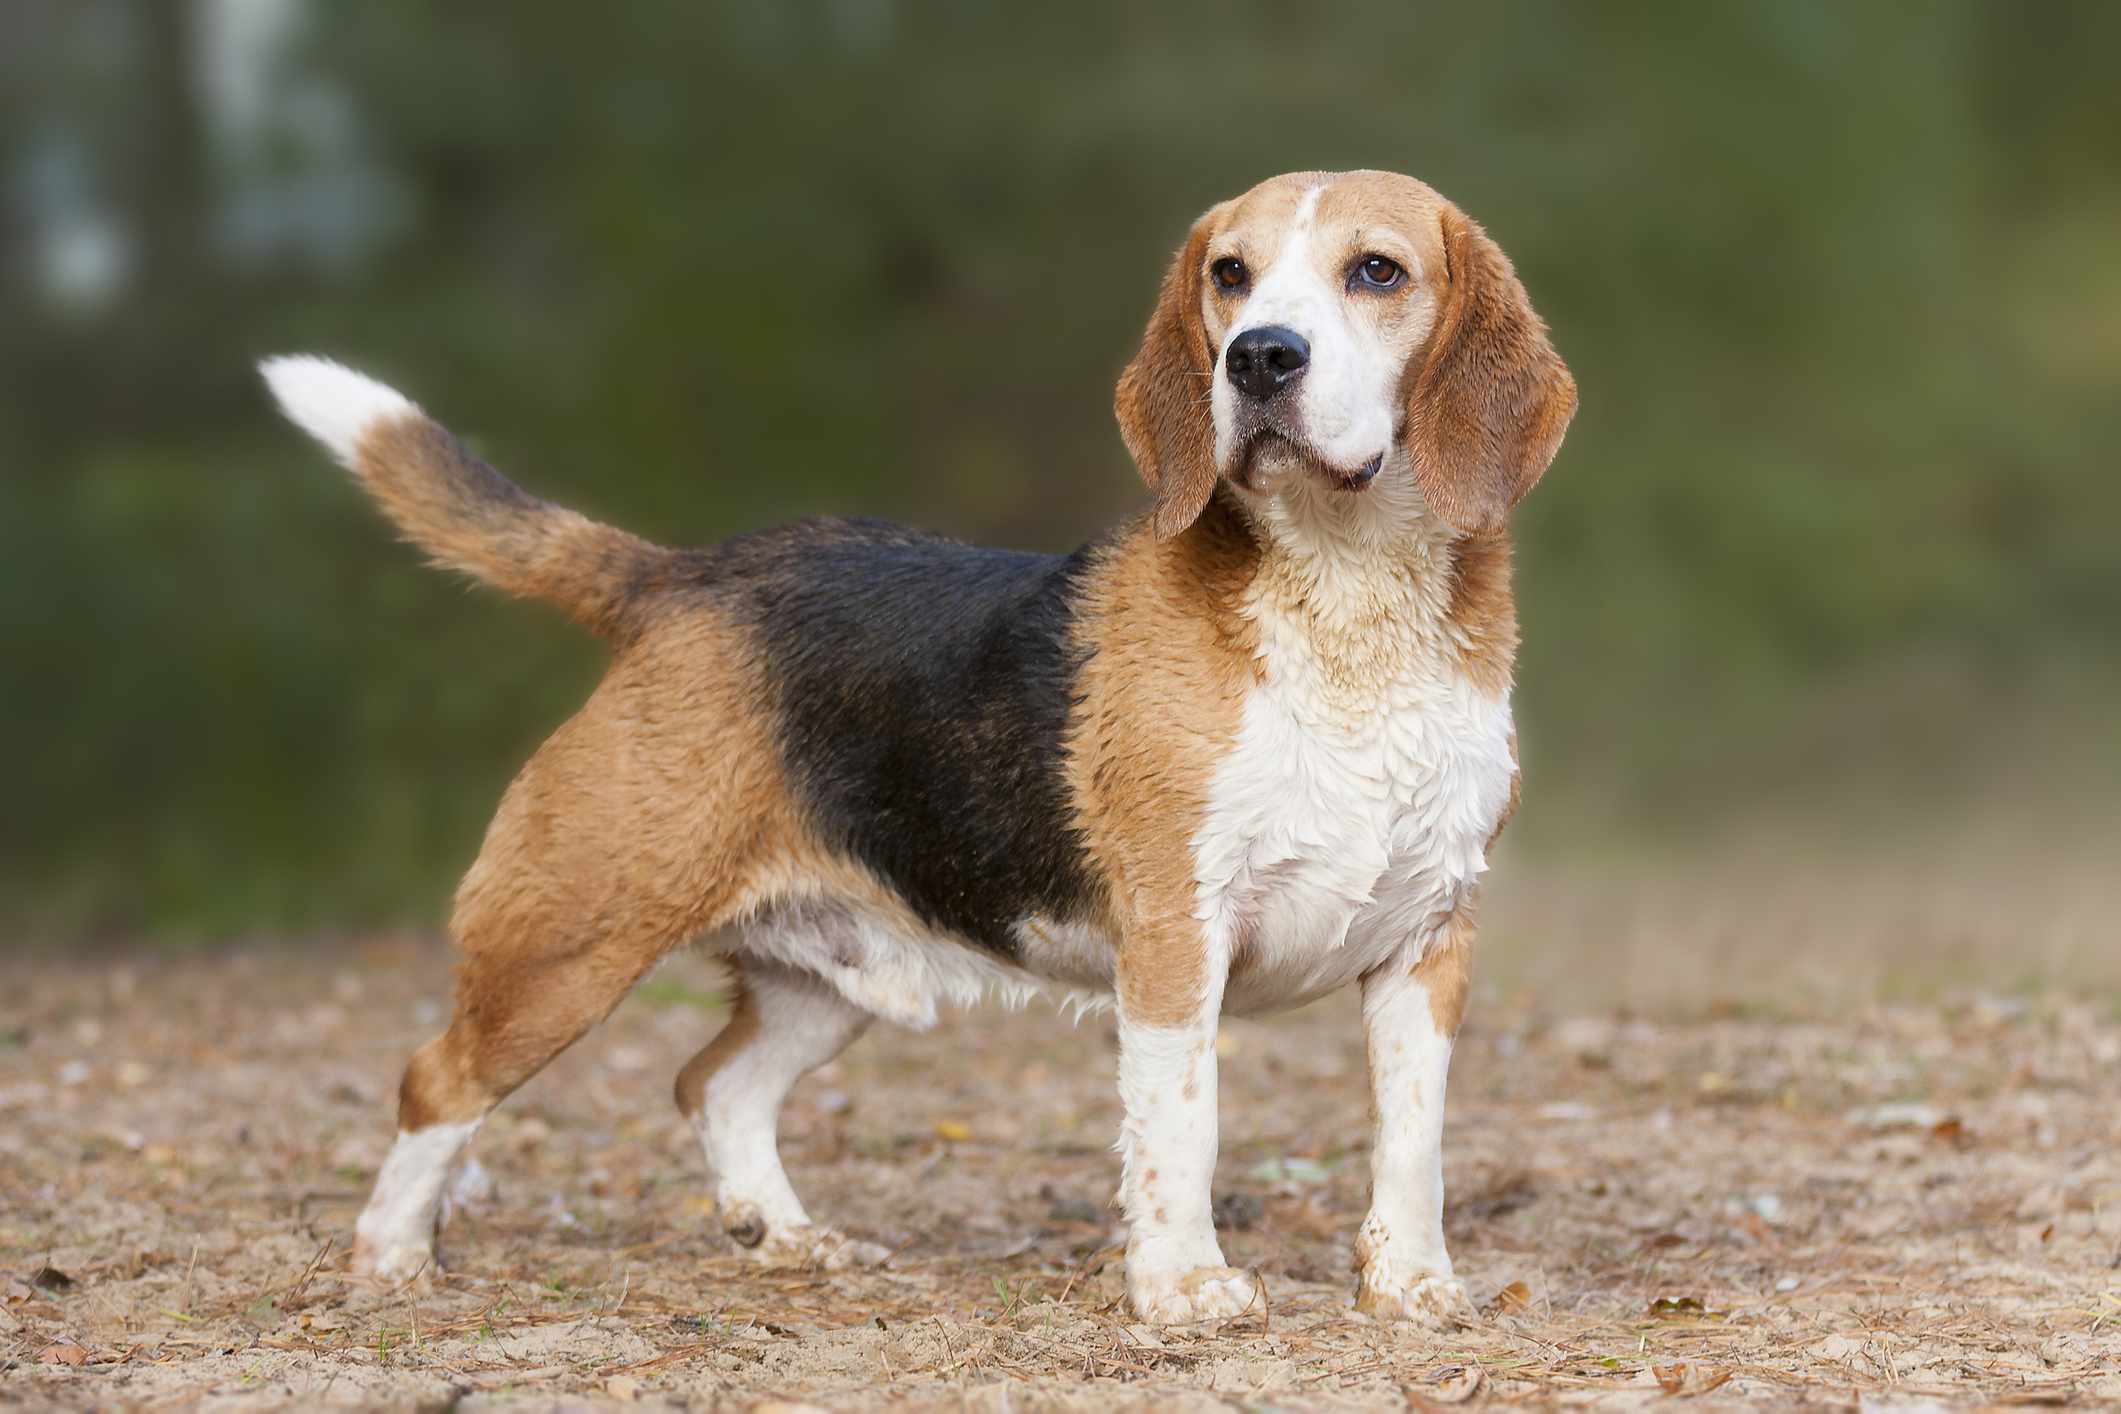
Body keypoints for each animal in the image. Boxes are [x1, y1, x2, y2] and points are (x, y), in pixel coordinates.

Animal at [256, 168, 1569, 1331]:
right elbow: (1182, 1126)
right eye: (1229, 277)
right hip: (567, 942)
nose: (1258, 357)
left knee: (714, 1083)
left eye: (1377, 271)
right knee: (437, 1081)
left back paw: (785, 1235)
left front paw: (1411, 1285)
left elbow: (1412, 1140)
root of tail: (687, 575)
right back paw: (391, 1258)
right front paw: (1185, 1289)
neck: (1349, 600)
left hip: (827, 971)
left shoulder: (1427, 941)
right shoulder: (1174, 937)